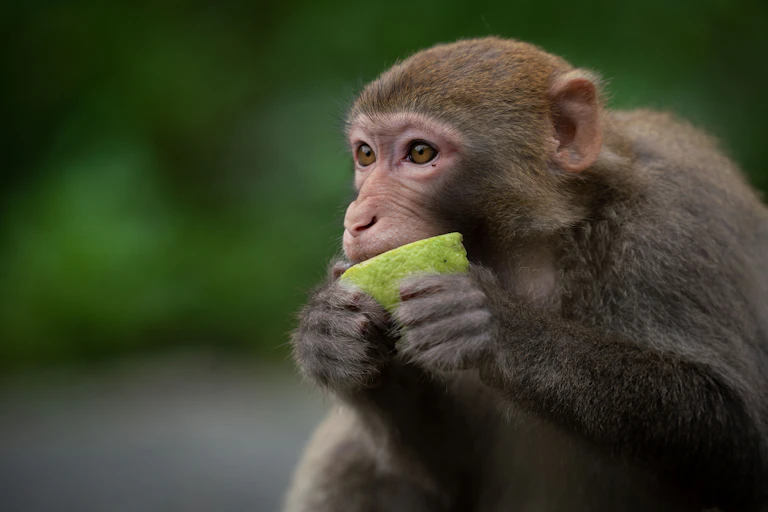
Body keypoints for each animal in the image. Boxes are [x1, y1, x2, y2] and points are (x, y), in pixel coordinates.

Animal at [284, 37, 768, 512]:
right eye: (365, 154)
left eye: (420, 152)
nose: (357, 219)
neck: (533, 248)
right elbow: (453, 474)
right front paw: (328, 331)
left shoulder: (678, 223)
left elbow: (738, 436)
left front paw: (495, 324)